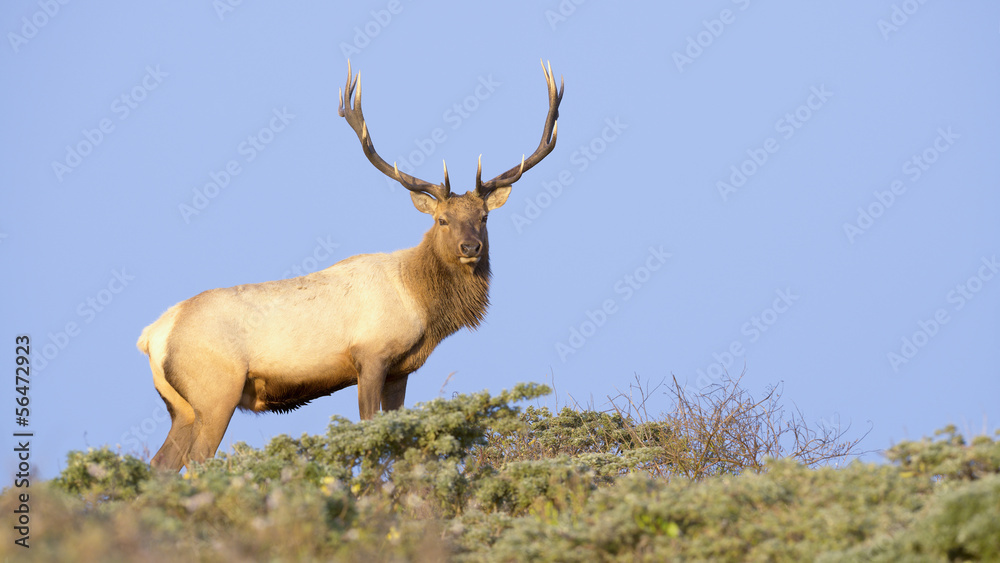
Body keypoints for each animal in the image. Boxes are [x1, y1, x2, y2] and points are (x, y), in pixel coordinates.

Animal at [136, 61, 563, 471]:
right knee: (197, 458)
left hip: (182, 407)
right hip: (215, 391)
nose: (470, 246)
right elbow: (370, 436)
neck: (421, 304)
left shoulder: (400, 370)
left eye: (484, 217)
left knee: (161, 463)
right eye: (442, 220)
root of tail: (153, 335)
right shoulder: (370, 356)